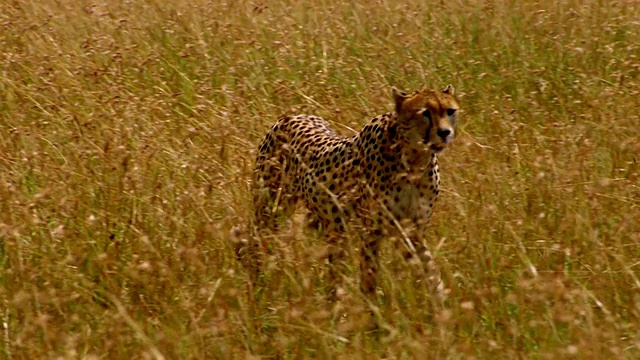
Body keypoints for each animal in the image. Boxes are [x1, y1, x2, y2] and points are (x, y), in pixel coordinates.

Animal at [242, 85, 458, 304]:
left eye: (450, 111)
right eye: (425, 113)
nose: (445, 132)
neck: (414, 159)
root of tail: (290, 116)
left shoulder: (412, 230)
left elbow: (429, 271)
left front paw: (441, 306)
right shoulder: (372, 231)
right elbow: (369, 276)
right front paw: (372, 309)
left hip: (332, 227)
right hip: (270, 210)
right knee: (255, 242)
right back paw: (257, 284)